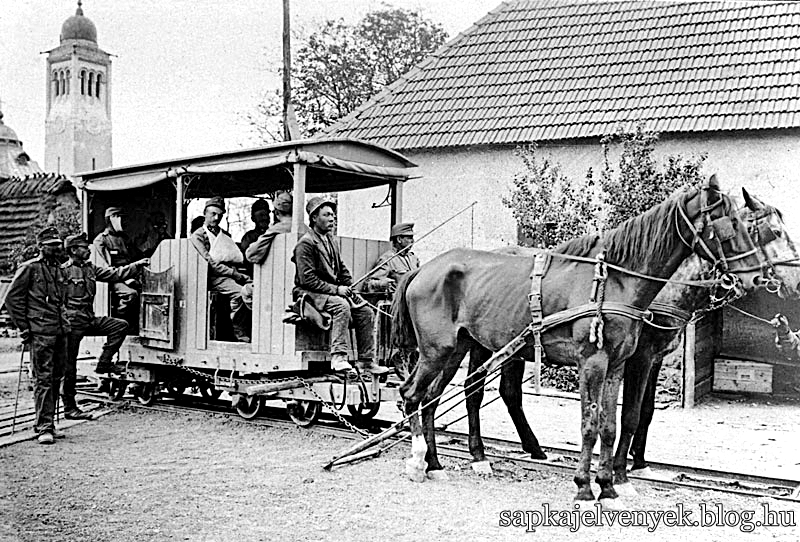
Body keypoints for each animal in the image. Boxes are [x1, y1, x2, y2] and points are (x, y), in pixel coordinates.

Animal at [394, 180, 768, 506]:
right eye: (732, 224)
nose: (756, 277)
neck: (615, 280)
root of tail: (425, 268)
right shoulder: (593, 362)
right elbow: (590, 425)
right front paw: (585, 488)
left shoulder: (617, 364)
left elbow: (611, 425)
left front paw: (609, 486)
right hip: (437, 351)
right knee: (412, 395)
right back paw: (417, 460)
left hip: (456, 350)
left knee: (430, 399)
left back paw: (435, 464)